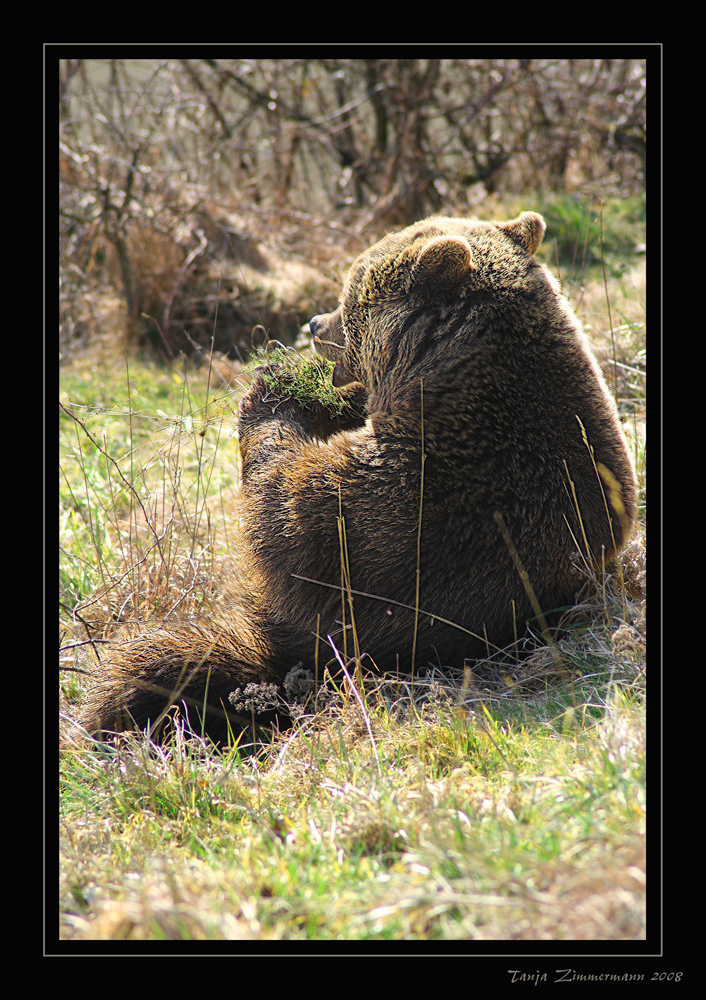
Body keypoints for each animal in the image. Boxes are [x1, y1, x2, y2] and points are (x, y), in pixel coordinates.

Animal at [71, 211, 640, 744]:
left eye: (350, 298)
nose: (313, 324)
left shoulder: (413, 510)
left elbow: (289, 512)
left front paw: (278, 390)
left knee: (169, 659)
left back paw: (119, 709)